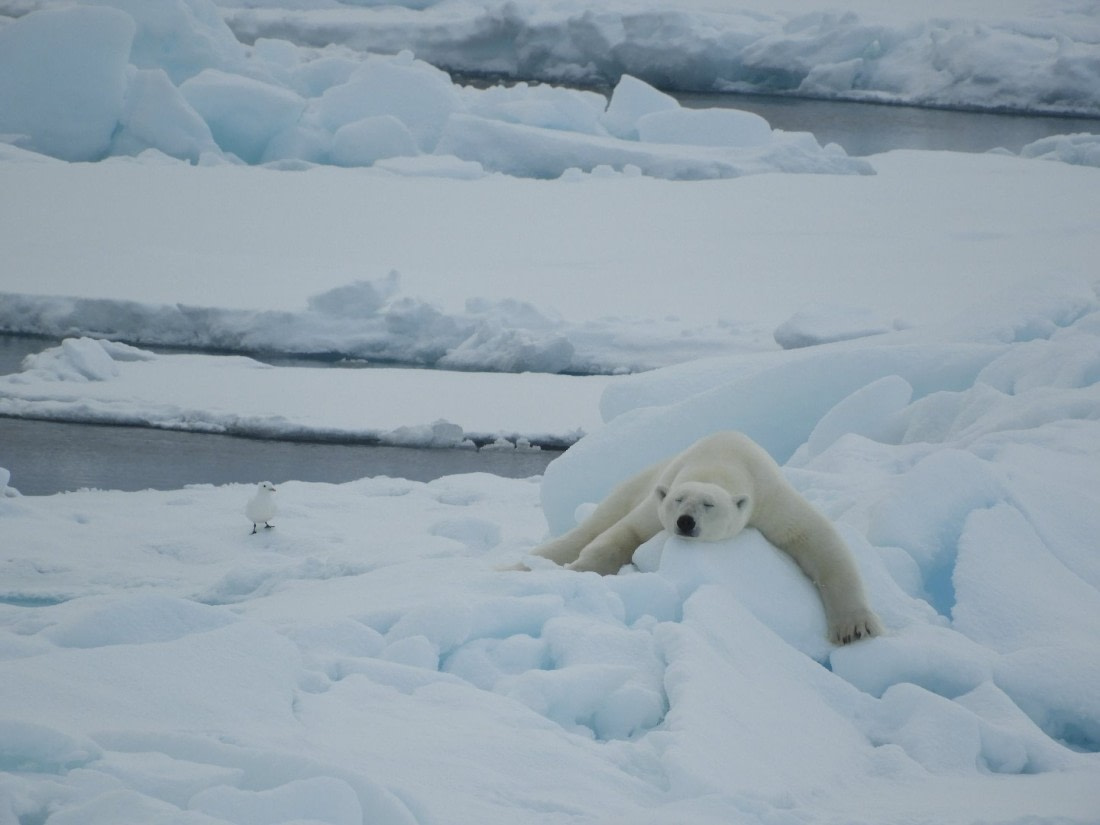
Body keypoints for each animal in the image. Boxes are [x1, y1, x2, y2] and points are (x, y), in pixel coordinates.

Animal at [528, 431, 883, 645]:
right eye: (678, 500)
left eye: (708, 504)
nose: (685, 522)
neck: (720, 460)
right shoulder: (658, 503)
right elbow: (625, 533)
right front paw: (579, 571)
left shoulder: (768, 497)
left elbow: (818, 540)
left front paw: (855, 628)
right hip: (632, 487)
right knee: (590, 528)